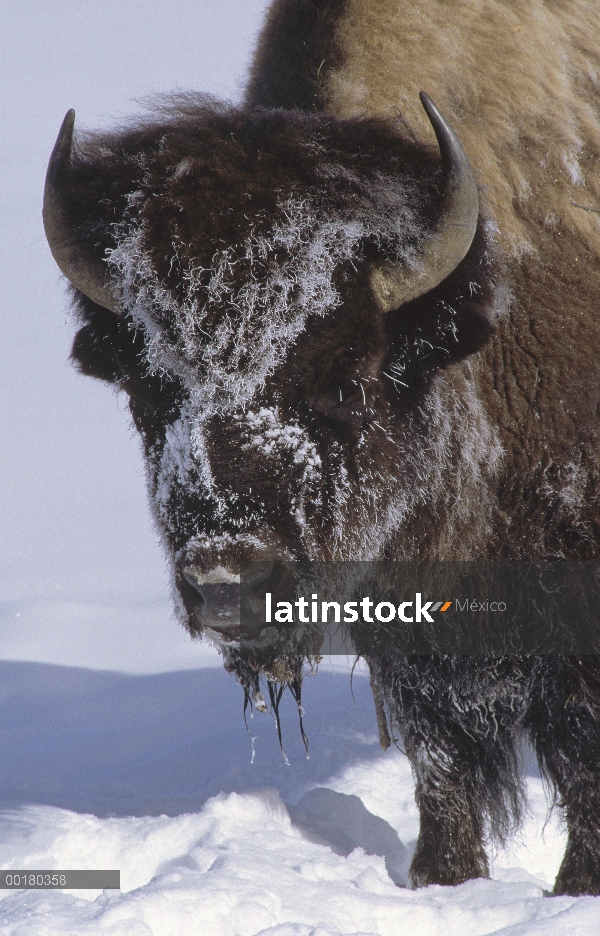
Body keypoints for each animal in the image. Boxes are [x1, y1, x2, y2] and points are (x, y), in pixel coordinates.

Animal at [44, 0, 600, 892]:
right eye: (147, 392)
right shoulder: (406, 629)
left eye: (344, 382)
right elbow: (438, 758)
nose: (229, 582)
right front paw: (441, 877)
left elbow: (580, 757)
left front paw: (576, 886)